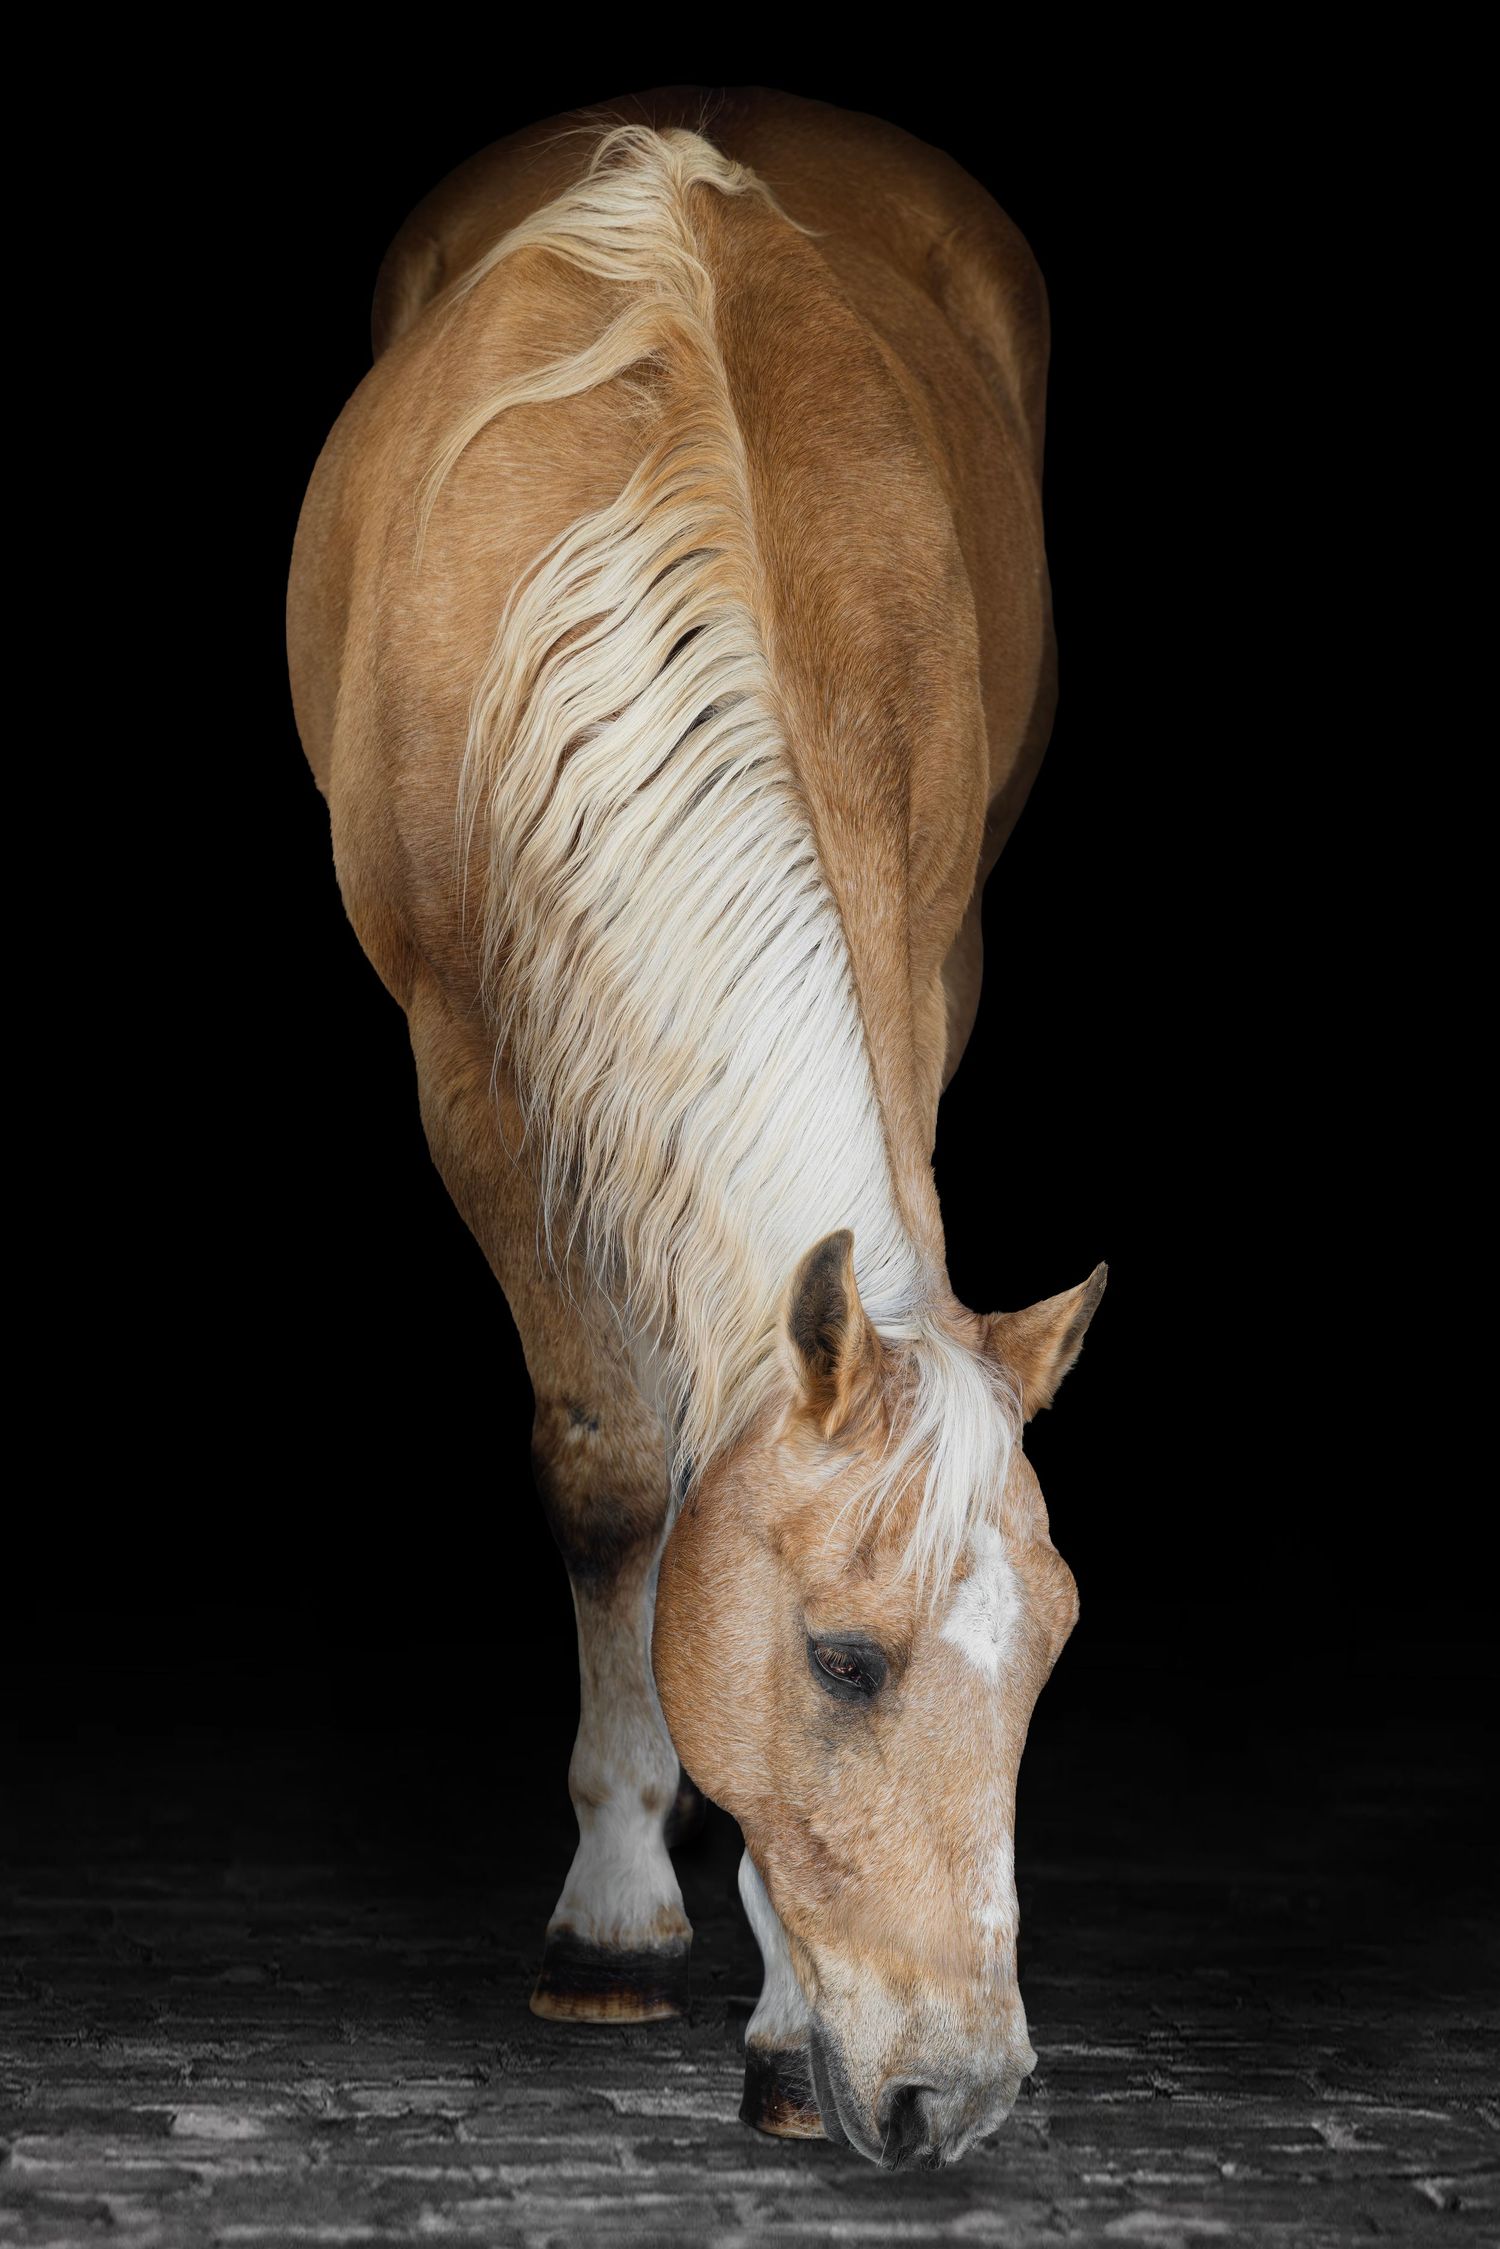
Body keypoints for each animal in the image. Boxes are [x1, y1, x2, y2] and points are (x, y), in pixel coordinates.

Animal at [287, 86, 1104, 2172]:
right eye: (842, 1656)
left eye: (1052, 1651)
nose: (965, 2090)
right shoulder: (472, 1065)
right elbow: (608, 1474)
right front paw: (614, 1915)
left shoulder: (924, 959)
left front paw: (782, 2013)